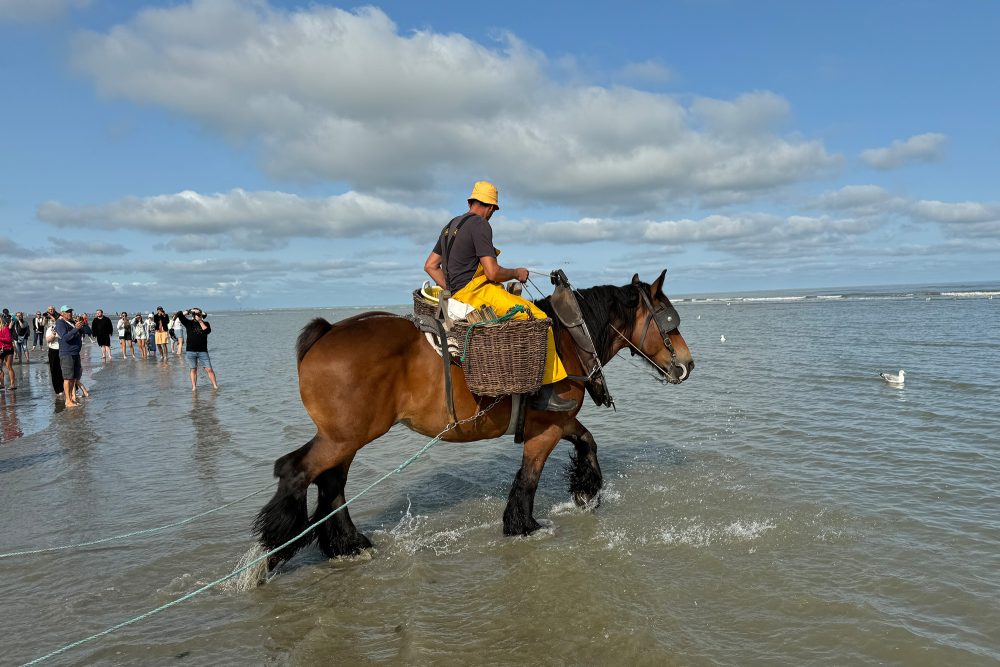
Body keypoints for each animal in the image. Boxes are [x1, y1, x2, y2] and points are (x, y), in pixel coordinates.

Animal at [254, 268, 692, 568]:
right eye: (670, 322)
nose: (687, 365)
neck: (570, 338)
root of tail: (328, 331)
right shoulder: (546, 428)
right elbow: (529, 478)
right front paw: (524, 525)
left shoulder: (557, 420)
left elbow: (588, 442)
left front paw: (586, 489)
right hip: (345, 436)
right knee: (296, 471)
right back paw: (276, 547)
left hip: (345, 436)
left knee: (331, 483)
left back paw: (347, 542)